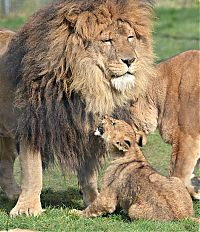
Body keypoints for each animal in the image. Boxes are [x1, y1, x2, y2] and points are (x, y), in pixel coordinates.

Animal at [0, 0, 155, 217]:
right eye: (107, 40)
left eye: (130, 37)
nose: (130, 60)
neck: (84, 84)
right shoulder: (33, 125)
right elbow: (32, 171)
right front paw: (27, 208)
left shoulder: (87, 130)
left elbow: (89, 173)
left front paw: (93, 201)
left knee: (4, 162)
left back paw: (12, 193)